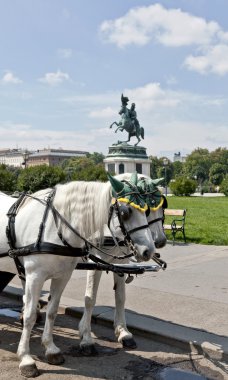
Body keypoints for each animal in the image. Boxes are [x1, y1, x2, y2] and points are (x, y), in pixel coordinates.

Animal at [0, 174, 155, 378]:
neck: (53, 226)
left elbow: (52, 311)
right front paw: (26, 359)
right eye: (125, 212)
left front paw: (51, 349)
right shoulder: (35, 276)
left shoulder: (62, 276)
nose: (149, 250)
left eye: (146, 209)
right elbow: (30, 315)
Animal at [79, 175, 167, 354]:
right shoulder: (94, 261)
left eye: (163, 205)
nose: (160, 241)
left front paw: (123, 332)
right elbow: (90, 298)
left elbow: (120, 297)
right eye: (148, 209)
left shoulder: (121, 262)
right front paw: (85, 337)